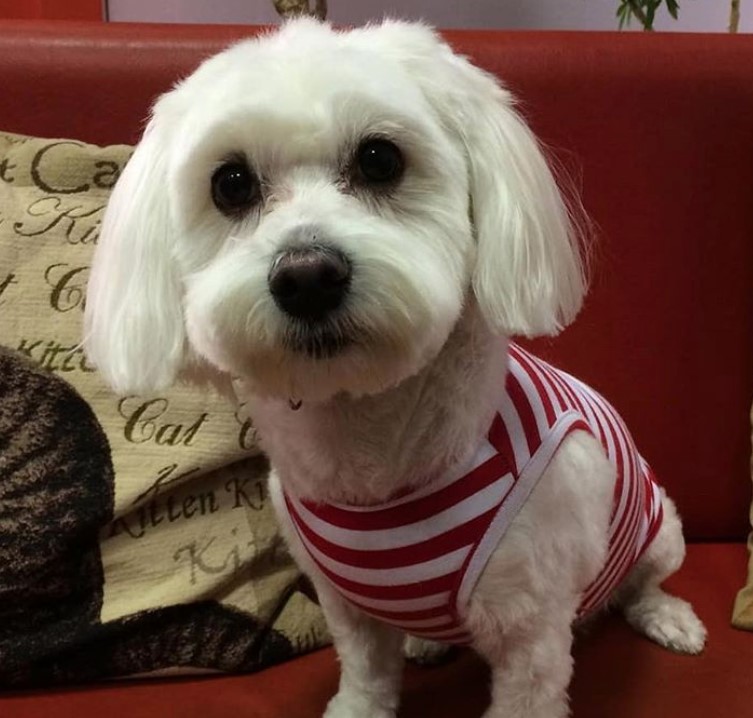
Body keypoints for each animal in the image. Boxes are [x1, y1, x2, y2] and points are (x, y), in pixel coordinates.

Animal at [85, 19, 708, 716]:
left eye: (380, 159)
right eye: (231, 183)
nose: (307, 277)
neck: (371, 456)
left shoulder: (532, 630)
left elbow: (529, 684)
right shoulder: (347, 607)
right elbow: (365, 674)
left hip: (660, 528)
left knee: (643, 583)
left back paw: (667, 617)